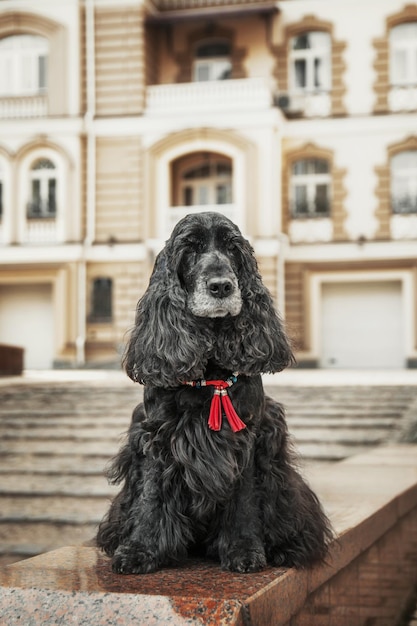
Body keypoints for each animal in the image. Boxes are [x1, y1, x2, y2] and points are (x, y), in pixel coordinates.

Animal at [96, 212, 332, 572]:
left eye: (233, 248)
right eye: (190, 248)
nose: (221, 286)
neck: (208, 372)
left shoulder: (247, 439)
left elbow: (244, 501)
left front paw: (244, 550)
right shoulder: (156, 436)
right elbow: (151, 496)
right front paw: (139, 549)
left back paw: (287, 546)